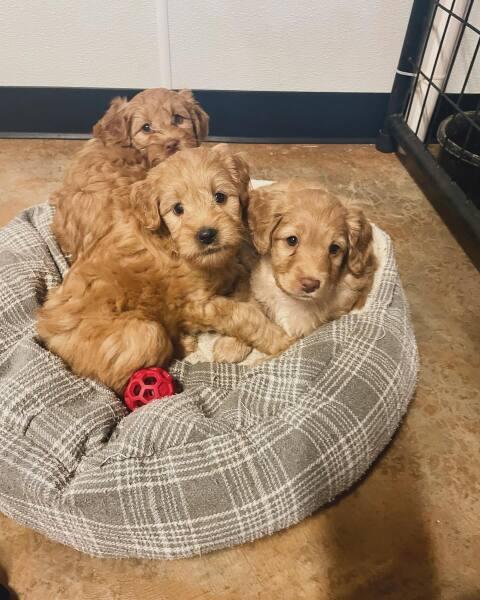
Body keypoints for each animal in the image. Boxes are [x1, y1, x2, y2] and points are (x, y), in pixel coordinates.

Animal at [37, 146, 293, 393]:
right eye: (178, 209)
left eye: (220, 196)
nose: (207, 235)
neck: (173, 244)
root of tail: (46, 329)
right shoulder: (195, 304)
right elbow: (243, 314)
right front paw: (280, 341)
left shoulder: (232, 271)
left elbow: (246, 292)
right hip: (147, 334)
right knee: (118, 379)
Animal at [212, 180, 376, 362]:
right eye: (292, 240)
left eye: (334, 248)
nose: (310, 285)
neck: (291, 299)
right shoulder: (254, 282)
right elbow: (253, 309)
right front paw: (230, 345)